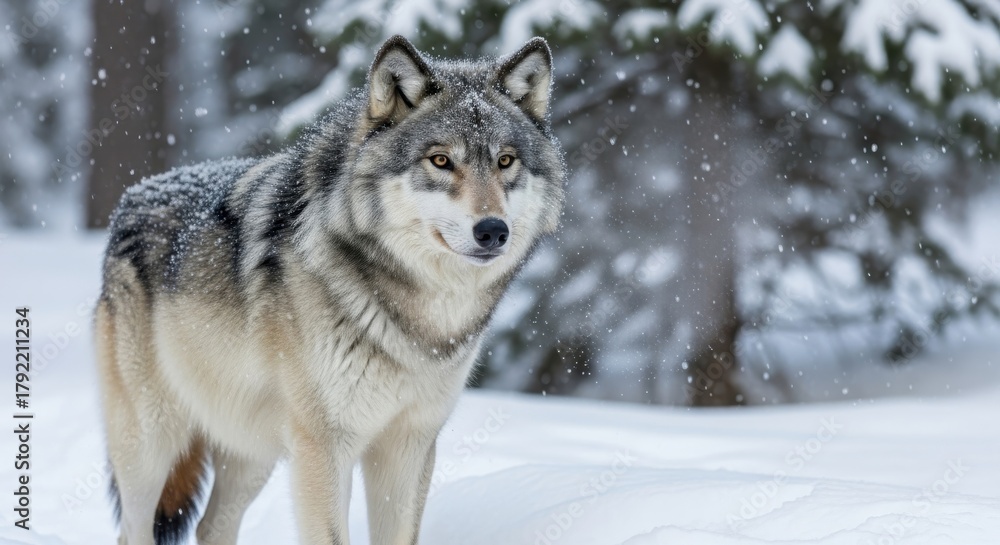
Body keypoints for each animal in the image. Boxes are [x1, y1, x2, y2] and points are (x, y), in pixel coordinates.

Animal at [94, 35, 565, 545]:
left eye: (505, 161)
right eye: (441, 160)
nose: (493, 231)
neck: (418, 316)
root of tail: (134, 195)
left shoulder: (409, 444)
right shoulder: (324, 446)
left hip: (252, 451)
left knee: (210, 526)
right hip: (152, 442)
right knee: (133, 531)